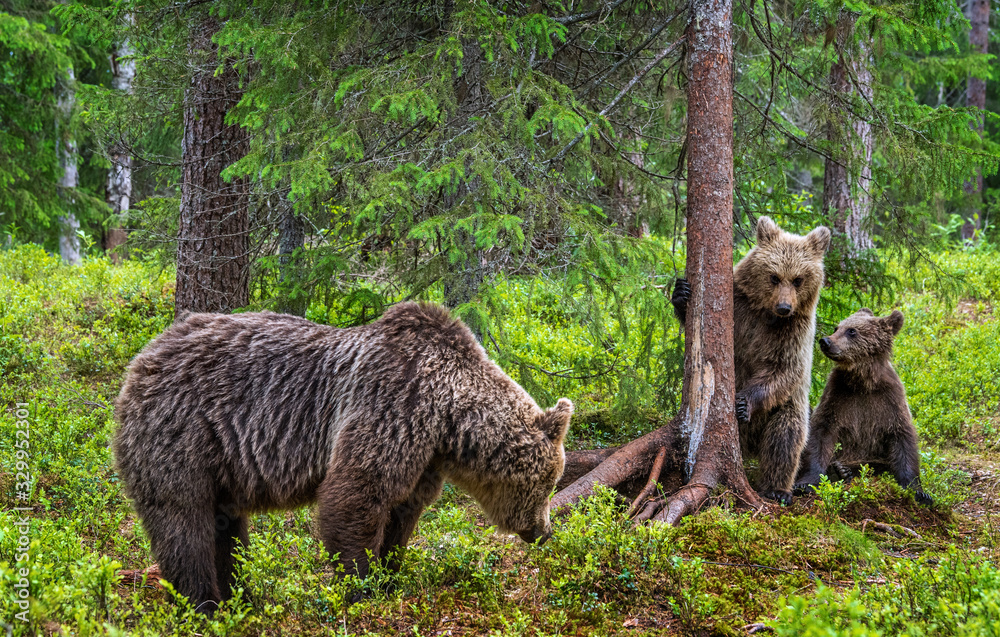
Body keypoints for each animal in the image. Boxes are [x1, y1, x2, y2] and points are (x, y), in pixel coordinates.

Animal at [113, 302, 573, 613]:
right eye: (550, 483)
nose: (544, 531)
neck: (446, 418)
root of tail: (142, 356)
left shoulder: (422, 458)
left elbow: (401, 514)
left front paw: (391, 576)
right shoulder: (392, 405)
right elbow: (355, 495)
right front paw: (360, 588)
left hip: (221, 463)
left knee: (225, 528)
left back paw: (240, 596)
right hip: (180, 436)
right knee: (183, 522)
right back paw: (203, 604)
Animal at [672, 216, 831, 504]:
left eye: (798, 279)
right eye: (774, 277)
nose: (784, 307)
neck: (766, 314)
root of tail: (749, 447)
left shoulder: (794, 332)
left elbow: (784, 369)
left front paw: (743, 402)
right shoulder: (740, 307)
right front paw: (681, 293)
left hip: (788, 407)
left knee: (786, 433)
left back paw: (777, 489)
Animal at [794, 309, 932, 505]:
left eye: (852, 331)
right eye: (837, 327)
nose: (825, 341)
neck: (862, 381)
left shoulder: (889, 398)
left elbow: (902, 436)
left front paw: (919, 492)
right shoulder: (837, 395)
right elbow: (820, 432)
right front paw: (805, 483)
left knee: (878, 465)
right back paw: (838, 471)